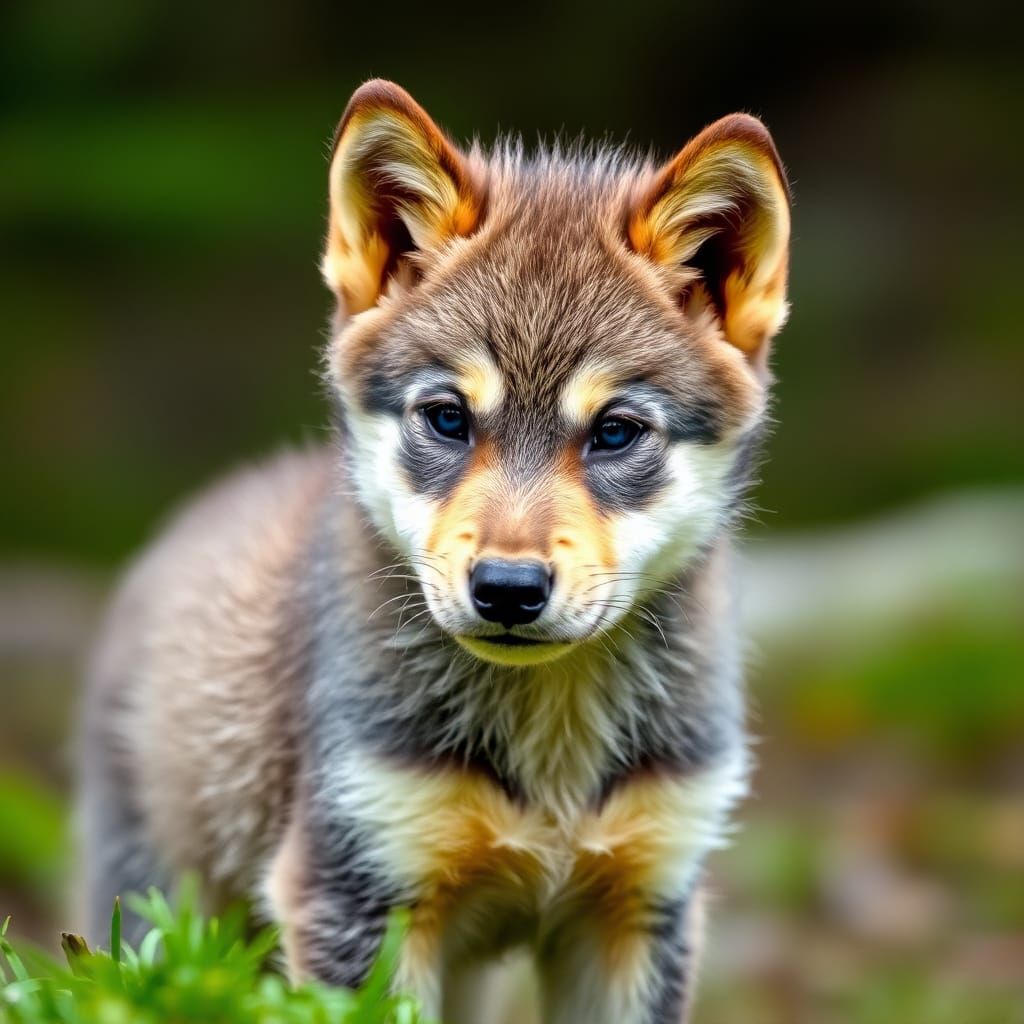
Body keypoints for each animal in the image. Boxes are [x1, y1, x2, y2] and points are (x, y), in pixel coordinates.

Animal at [78, 79, 790, 1023]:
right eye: (448, 417)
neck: (549, 749)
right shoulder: (354, 892)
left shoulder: (645, 905)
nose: (508, 588)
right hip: (151, 911)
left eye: (616, 432)